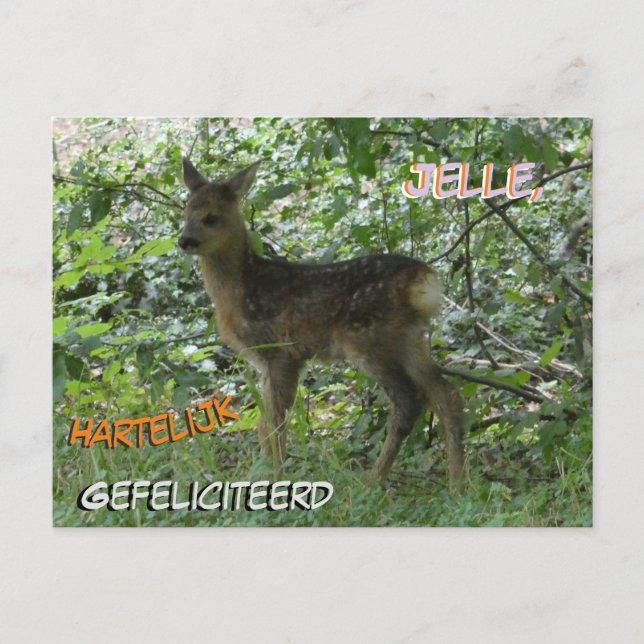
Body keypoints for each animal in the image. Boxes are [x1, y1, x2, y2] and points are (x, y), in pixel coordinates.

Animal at [178, 158, 466, 491]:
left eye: (211, 217)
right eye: (185, 212)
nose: (184, 241)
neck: (242, 289)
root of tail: (423, 279)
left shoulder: (281, 351)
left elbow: (274, 423)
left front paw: (273, 478)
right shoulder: (266, 362)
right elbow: (264, 423)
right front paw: (261, 475)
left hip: (367, 338)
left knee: (409, 401)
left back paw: (373, 480)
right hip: (411, 338)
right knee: (446, 394)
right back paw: (457, 484)